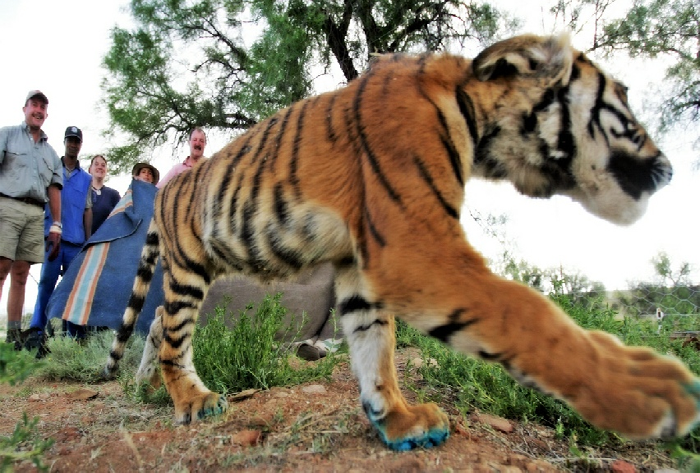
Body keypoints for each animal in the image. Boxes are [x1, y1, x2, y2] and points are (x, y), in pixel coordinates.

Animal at [104, 34, 700, 450]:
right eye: (622, 102)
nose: (671, 170)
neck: (475, 120)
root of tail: (166, 185)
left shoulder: (362, 263)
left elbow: (376, 347)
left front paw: (397, 420)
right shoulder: (418, 249)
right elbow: (531, 315)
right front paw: (648, 391)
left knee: (158, 324)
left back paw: (148, 390)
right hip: (188, 268)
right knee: (170, 331)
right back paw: (192, 400)